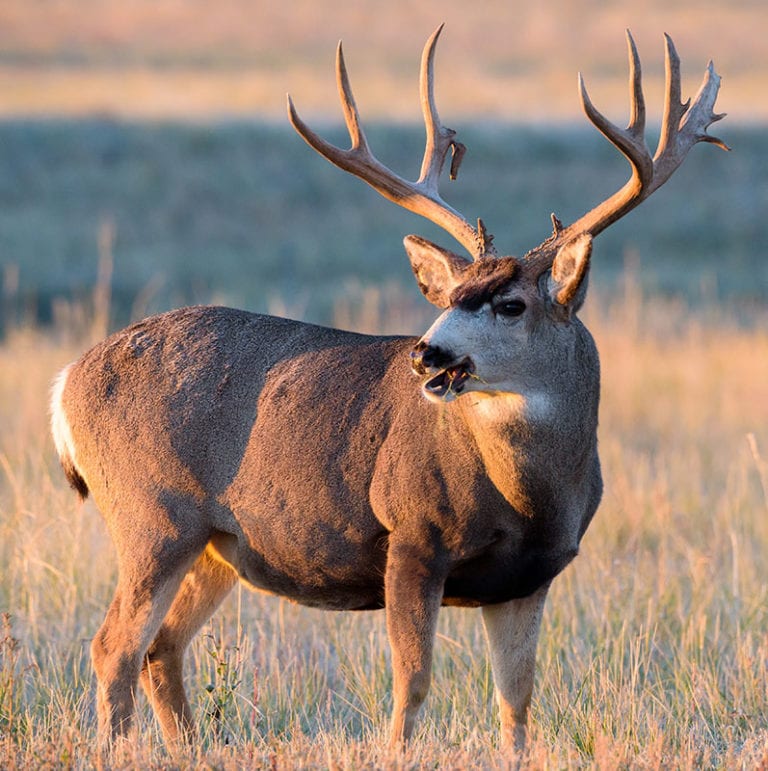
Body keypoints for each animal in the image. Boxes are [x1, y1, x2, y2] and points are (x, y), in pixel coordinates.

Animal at [49, 25, 728, 760]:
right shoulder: (411, 534)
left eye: (511, 303)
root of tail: (67, 381)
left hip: (215, 542)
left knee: (160, 649)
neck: (530, 496)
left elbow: (517, 700)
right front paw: (396, 752)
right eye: (453, 296)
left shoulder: (530, 575)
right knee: (114, 647)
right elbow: (413, 683)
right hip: (151, 512)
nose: (425, 352)